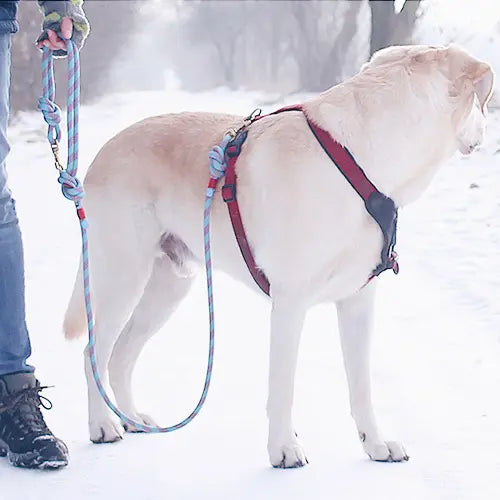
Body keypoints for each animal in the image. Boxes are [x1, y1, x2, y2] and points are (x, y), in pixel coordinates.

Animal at [62, 44, 492, 468]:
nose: (486, 132)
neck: (361, 161)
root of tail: (102, 153)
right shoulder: (290, 301)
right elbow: (283, 386)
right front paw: (284, 448)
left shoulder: (358, 301)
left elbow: (362, 385)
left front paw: (375, 443)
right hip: (123, 275)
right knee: (92, 353)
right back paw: (103, 425)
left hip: (168, 286)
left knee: (120, 356)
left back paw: (132, 418)